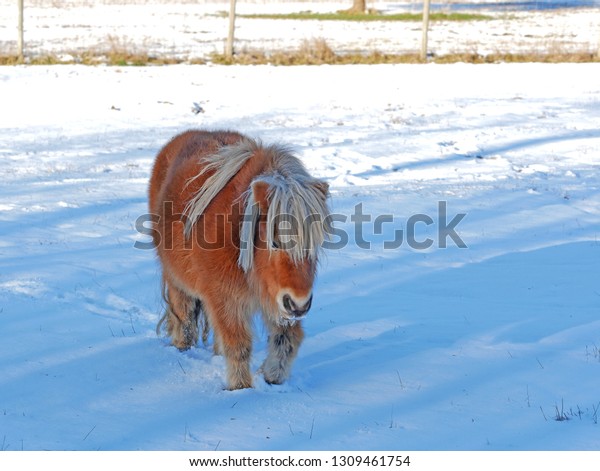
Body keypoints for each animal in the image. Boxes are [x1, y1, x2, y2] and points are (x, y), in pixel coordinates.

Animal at [148, 130, 330, 390]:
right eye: (275, 242)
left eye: (316, 242)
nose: (299, 305)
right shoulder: (226, 299)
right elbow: (238, 344)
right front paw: (240, 390)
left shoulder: (277, 299)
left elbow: (288, 340)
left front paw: (272, 376)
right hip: (177, 281)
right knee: (184, 316)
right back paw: (182, 348)